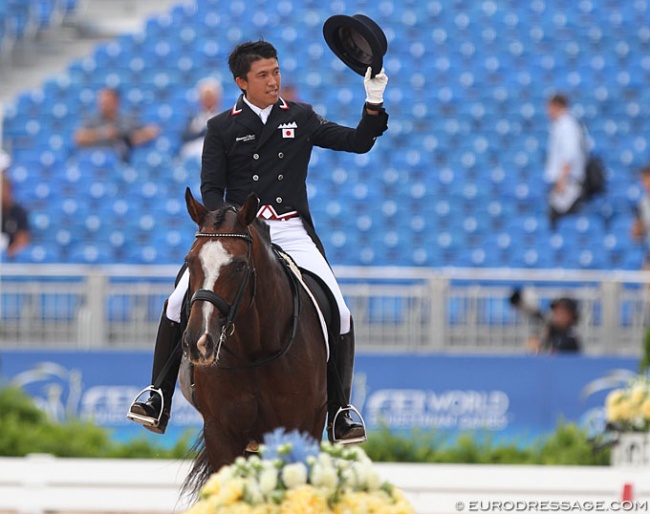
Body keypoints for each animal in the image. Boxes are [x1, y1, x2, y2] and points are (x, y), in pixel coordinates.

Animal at [178, 186, 326, 494]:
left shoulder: (298, 429)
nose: (198, 342)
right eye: (189, 261)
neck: (254, 351)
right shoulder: (219, 433)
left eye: (239, 266)